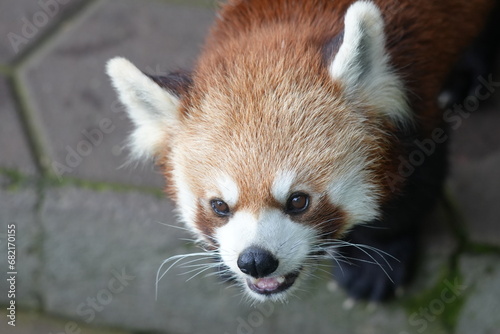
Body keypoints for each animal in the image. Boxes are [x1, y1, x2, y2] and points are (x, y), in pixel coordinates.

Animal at [105, 0, 496, 302]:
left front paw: (375, 259)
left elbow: (415, 190)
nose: (255, 261)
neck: (278, 26)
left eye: (298, 201)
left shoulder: (417, 102)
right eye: (219, 206)